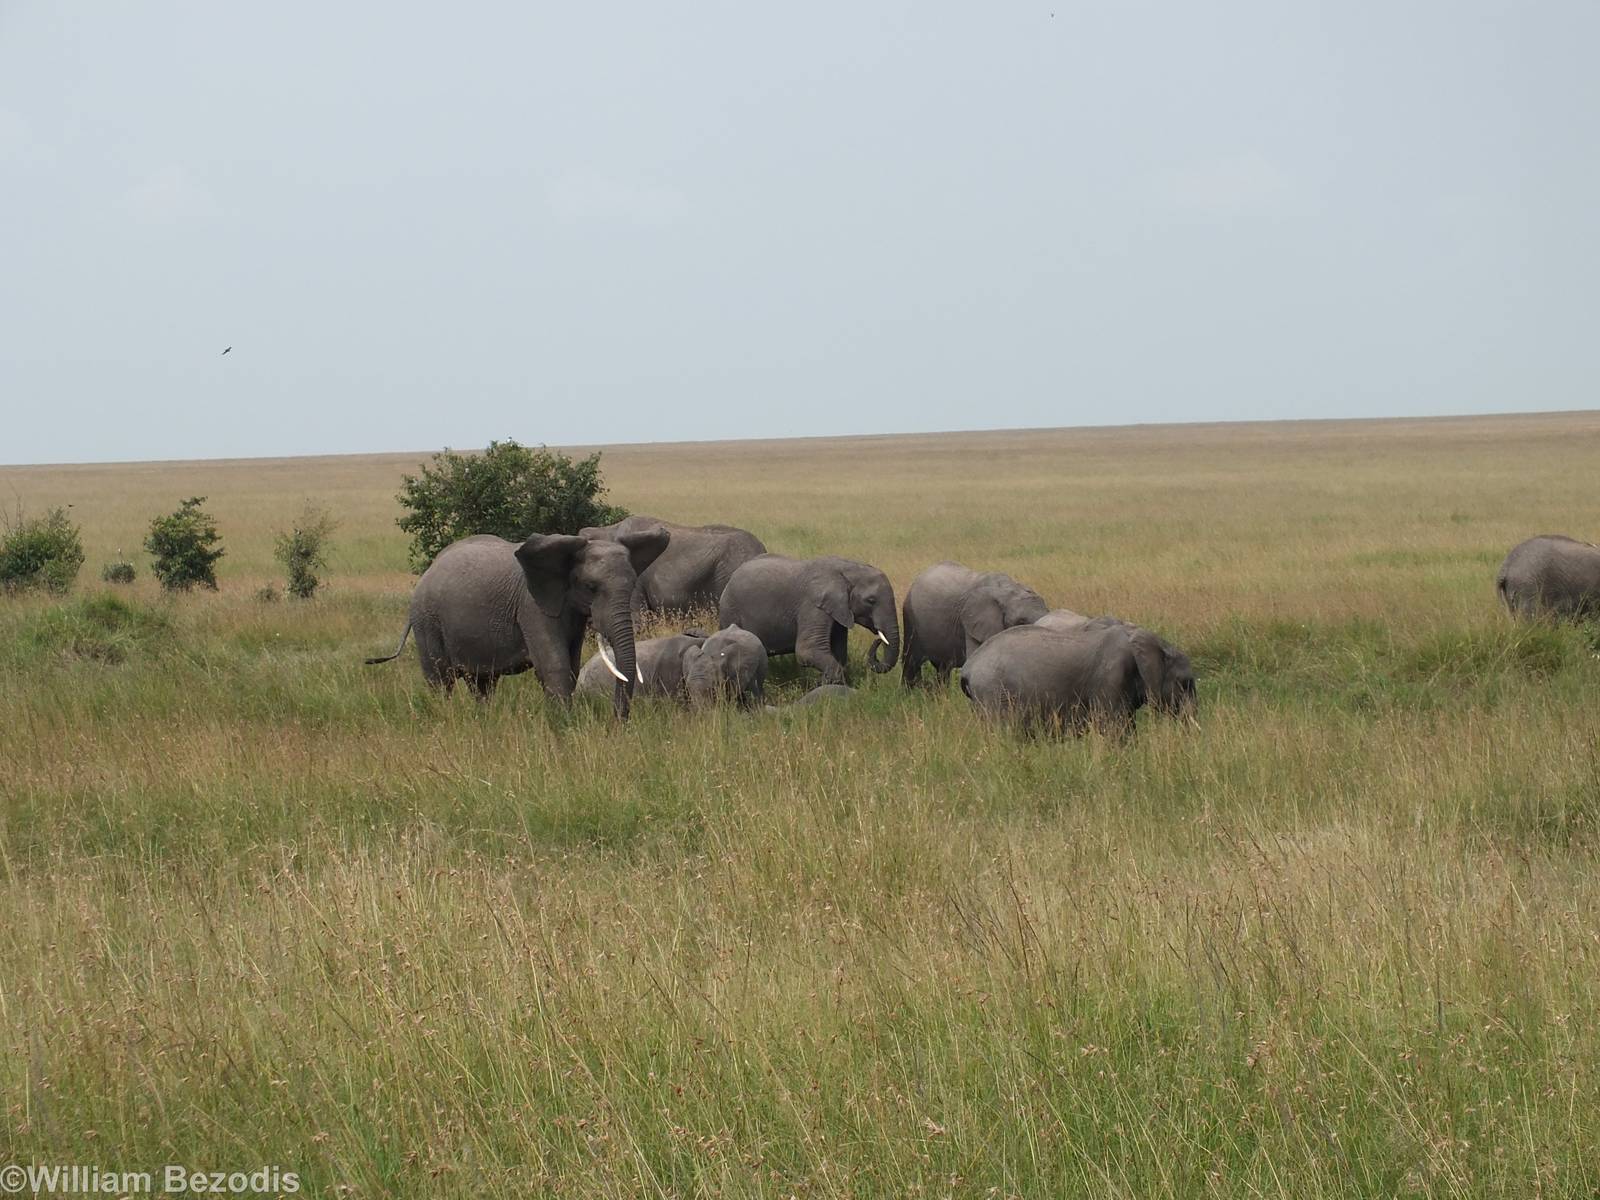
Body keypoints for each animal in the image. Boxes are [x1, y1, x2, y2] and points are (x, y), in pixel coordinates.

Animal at [365, 527, 669, 717]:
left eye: (631, 585)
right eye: (591, 587)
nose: (618, 723)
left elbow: (570, 667)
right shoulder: (531, 607)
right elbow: (555, 667)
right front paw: (564, 729)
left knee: (482, 684)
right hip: (427, 620)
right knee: (440, 680)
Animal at [718, 554, 900, 685]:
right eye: (871, 600)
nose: (878, 639)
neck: (849, 568)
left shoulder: (839, 610)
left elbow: (839, 651)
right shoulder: (813, 604)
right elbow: (807, 650)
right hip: (729, 609)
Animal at [901, 561, 1048, 687]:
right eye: (1021, 621)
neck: (1006, 591)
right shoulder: (970, 621)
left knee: (943, 668)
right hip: (910, 617)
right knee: (911, 660)